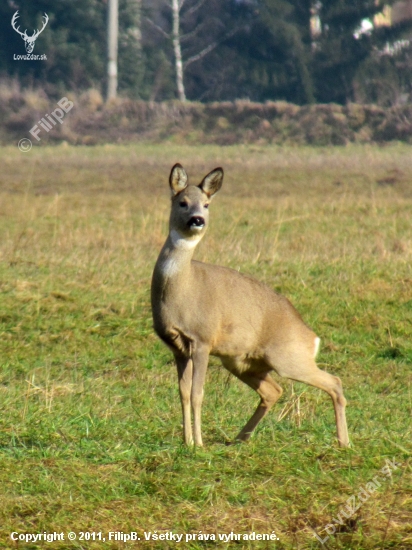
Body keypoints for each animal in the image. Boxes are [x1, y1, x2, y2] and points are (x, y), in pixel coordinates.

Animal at [150, 164, 350, 448]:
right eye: (182, 202)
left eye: (207, 204)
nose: (197, 220)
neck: (181, 289)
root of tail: (312, 337)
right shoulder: (177, 346)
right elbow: (183, 393)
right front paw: (186, 441)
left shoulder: (203, 339)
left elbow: (198, 393)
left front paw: (198, 444)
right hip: (242, 362)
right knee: (273, 390)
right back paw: (239, 438)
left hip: (288, 358)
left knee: (334, 381)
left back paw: (344, 442)